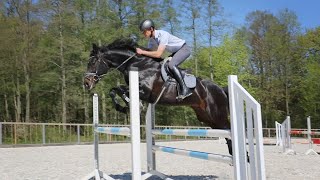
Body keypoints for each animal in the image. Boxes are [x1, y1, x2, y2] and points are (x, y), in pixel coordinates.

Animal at [83, 38, 232, 155]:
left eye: (93, 62)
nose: (86, 83)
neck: (138, 65)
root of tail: (220, 89)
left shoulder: (145, 91)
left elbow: (122, 90)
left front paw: (132, 105)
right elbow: (114, 90)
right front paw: (123, 107)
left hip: (217, 116)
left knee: (229, 131)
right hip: (206, 117)